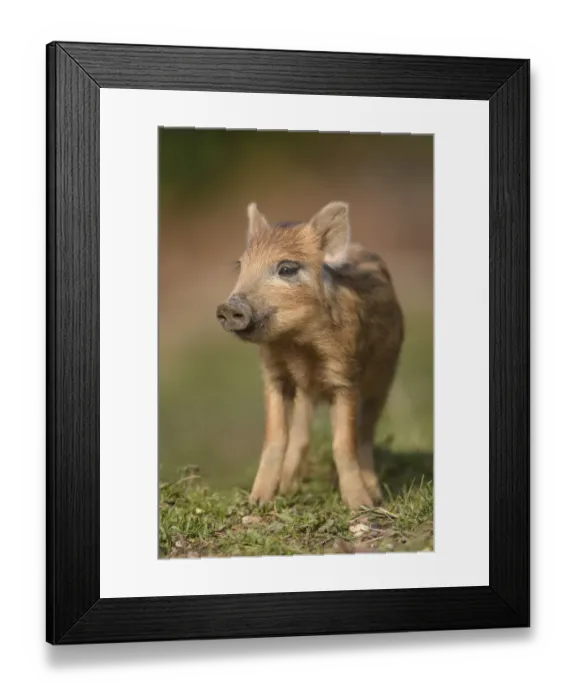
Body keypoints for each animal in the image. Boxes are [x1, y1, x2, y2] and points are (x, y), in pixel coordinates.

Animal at [216, 202, 404, 509]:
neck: (299, 347)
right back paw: (287, 489)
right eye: (241, 265)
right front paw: (258, 501)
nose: (228, 307)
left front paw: (360, 506)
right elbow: (276, 437)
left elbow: (344, 443)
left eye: (287, 269)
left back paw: (375, 496)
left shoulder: (346, 378)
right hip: (307, 394)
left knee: (365, 433)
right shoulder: (274, 376)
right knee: (301, 434)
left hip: (384, 379)